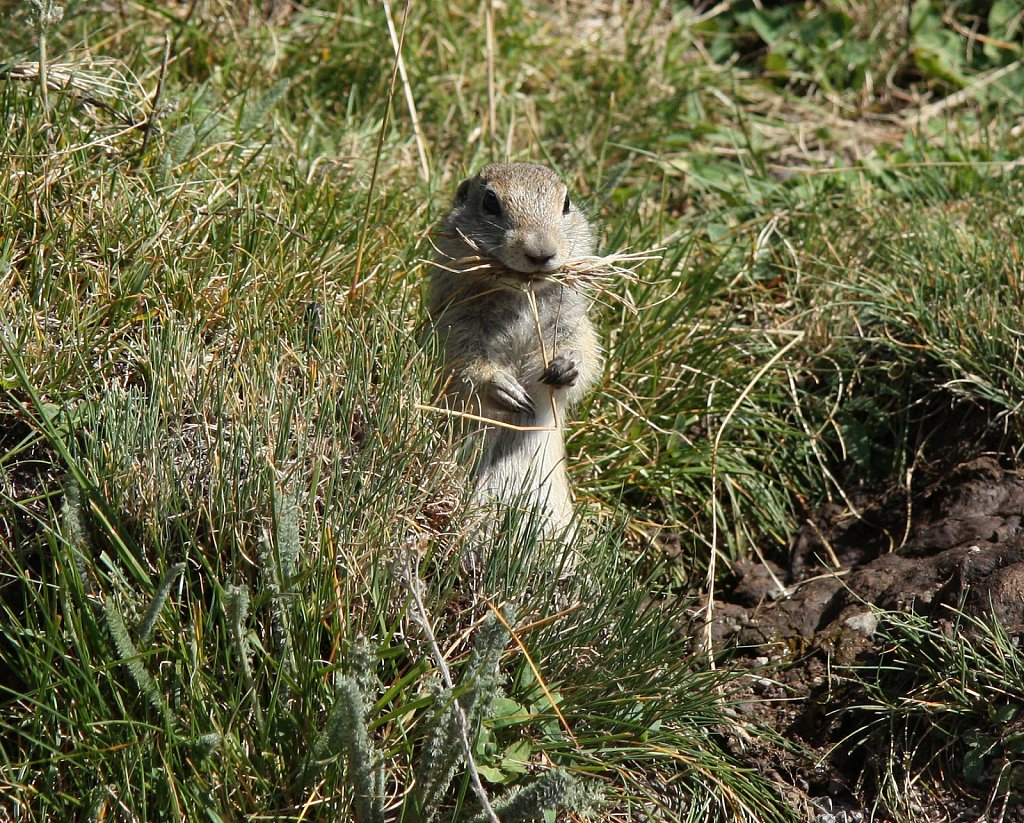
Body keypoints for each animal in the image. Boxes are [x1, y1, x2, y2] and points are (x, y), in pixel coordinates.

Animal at [430, 162, 602, 536]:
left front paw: (566, 366)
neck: (523, 296)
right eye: (490, 202)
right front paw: (505, 390)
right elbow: (461, 367)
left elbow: (583, 353)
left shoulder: (575, 323)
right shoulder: (455, 325)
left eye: (567, 203)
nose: (541, 253)